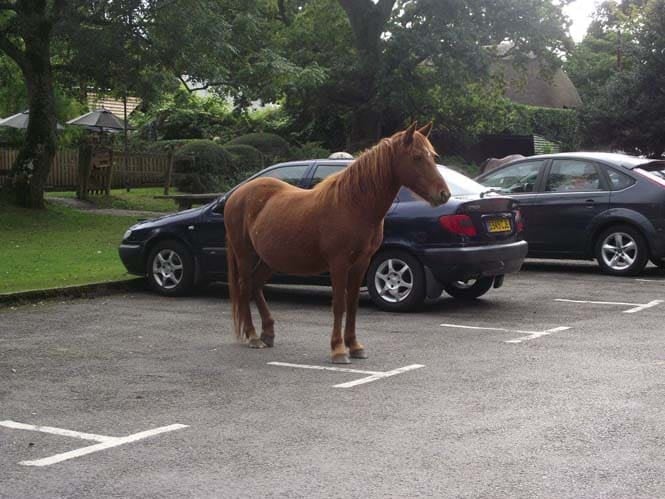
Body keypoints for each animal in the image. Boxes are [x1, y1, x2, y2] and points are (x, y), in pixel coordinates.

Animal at [224, 121, 452, 364]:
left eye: (433, 156)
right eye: (417, 157)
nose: (443, 194)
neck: (353, 205)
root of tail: (236, 195)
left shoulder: (361, 263)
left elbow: (352, 305)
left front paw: (355, 346)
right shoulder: (339, 263)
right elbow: (339, 305)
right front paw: (339, 349)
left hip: (269, 260)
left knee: (256, 286)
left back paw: (267, 333)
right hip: (245, 255)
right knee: (245, 286)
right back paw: (253, 336)